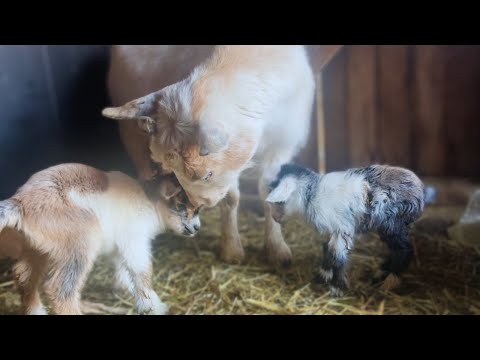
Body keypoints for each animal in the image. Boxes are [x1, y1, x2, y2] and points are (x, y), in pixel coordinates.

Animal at [0, 164, 200, 316]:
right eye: (181, 205)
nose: (197, 228)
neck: (149, 203)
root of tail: (21, 202)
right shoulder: (135, 240)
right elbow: (141, 271)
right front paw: (151, 307)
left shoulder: (119, 249)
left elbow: (123, 274)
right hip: (80, 240)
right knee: (60, 290)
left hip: (36, 248)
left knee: (24, 277)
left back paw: (36, 310)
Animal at [264, 165, 426, 296]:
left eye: (279, 201)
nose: (275, 218)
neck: (312, 194)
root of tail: (420, 191)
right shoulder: (334, 229)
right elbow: (326, 249)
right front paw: (323, 276)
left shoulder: (342, 228)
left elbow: (337, 256)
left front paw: (336, 288)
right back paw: (380, 274)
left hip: (392, 223)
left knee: (404, 249)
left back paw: (389, 282)